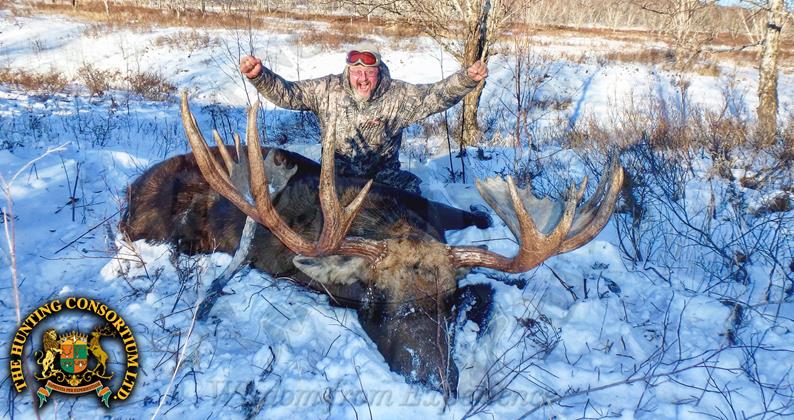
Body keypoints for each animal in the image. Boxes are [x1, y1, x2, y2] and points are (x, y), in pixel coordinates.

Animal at [120, 92, 623, 396]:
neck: (387, 219)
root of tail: (130, 188)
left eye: (448, 301)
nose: (433, 380)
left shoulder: (430, 211)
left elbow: (482, 259)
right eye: (373, 301)